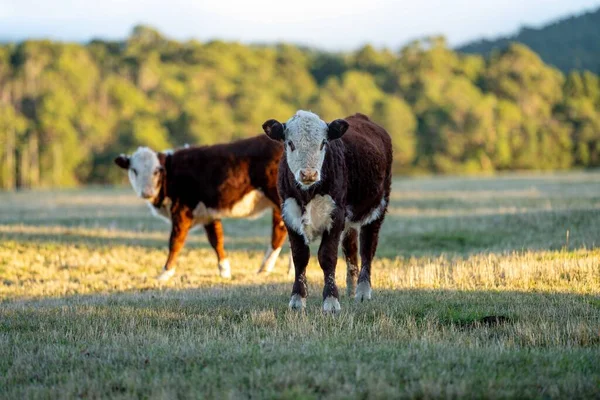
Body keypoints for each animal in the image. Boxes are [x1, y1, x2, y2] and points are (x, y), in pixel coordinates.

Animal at [113, 136, 292, 280]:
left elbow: (175, 242)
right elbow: (217, 240)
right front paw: (225, 271)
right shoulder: (209, 214)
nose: (146, 192)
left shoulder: (181, 212)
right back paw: (276, 270)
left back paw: (277, 270)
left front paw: (165, 273)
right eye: (134, 170)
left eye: (157, 170)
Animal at [264, 110, 394, 312]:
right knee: (350, 248)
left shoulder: (335, 216)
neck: (307, 194)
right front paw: (297, 299)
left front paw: (331, 301)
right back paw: (351, 289)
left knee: (367, 248)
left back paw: (362, 291)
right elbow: (300, 257)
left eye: (323, 143)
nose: (308, 174)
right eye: (290, 143)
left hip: (378, 207)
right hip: (350, 221)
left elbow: (327, 257)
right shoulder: (290, 214)